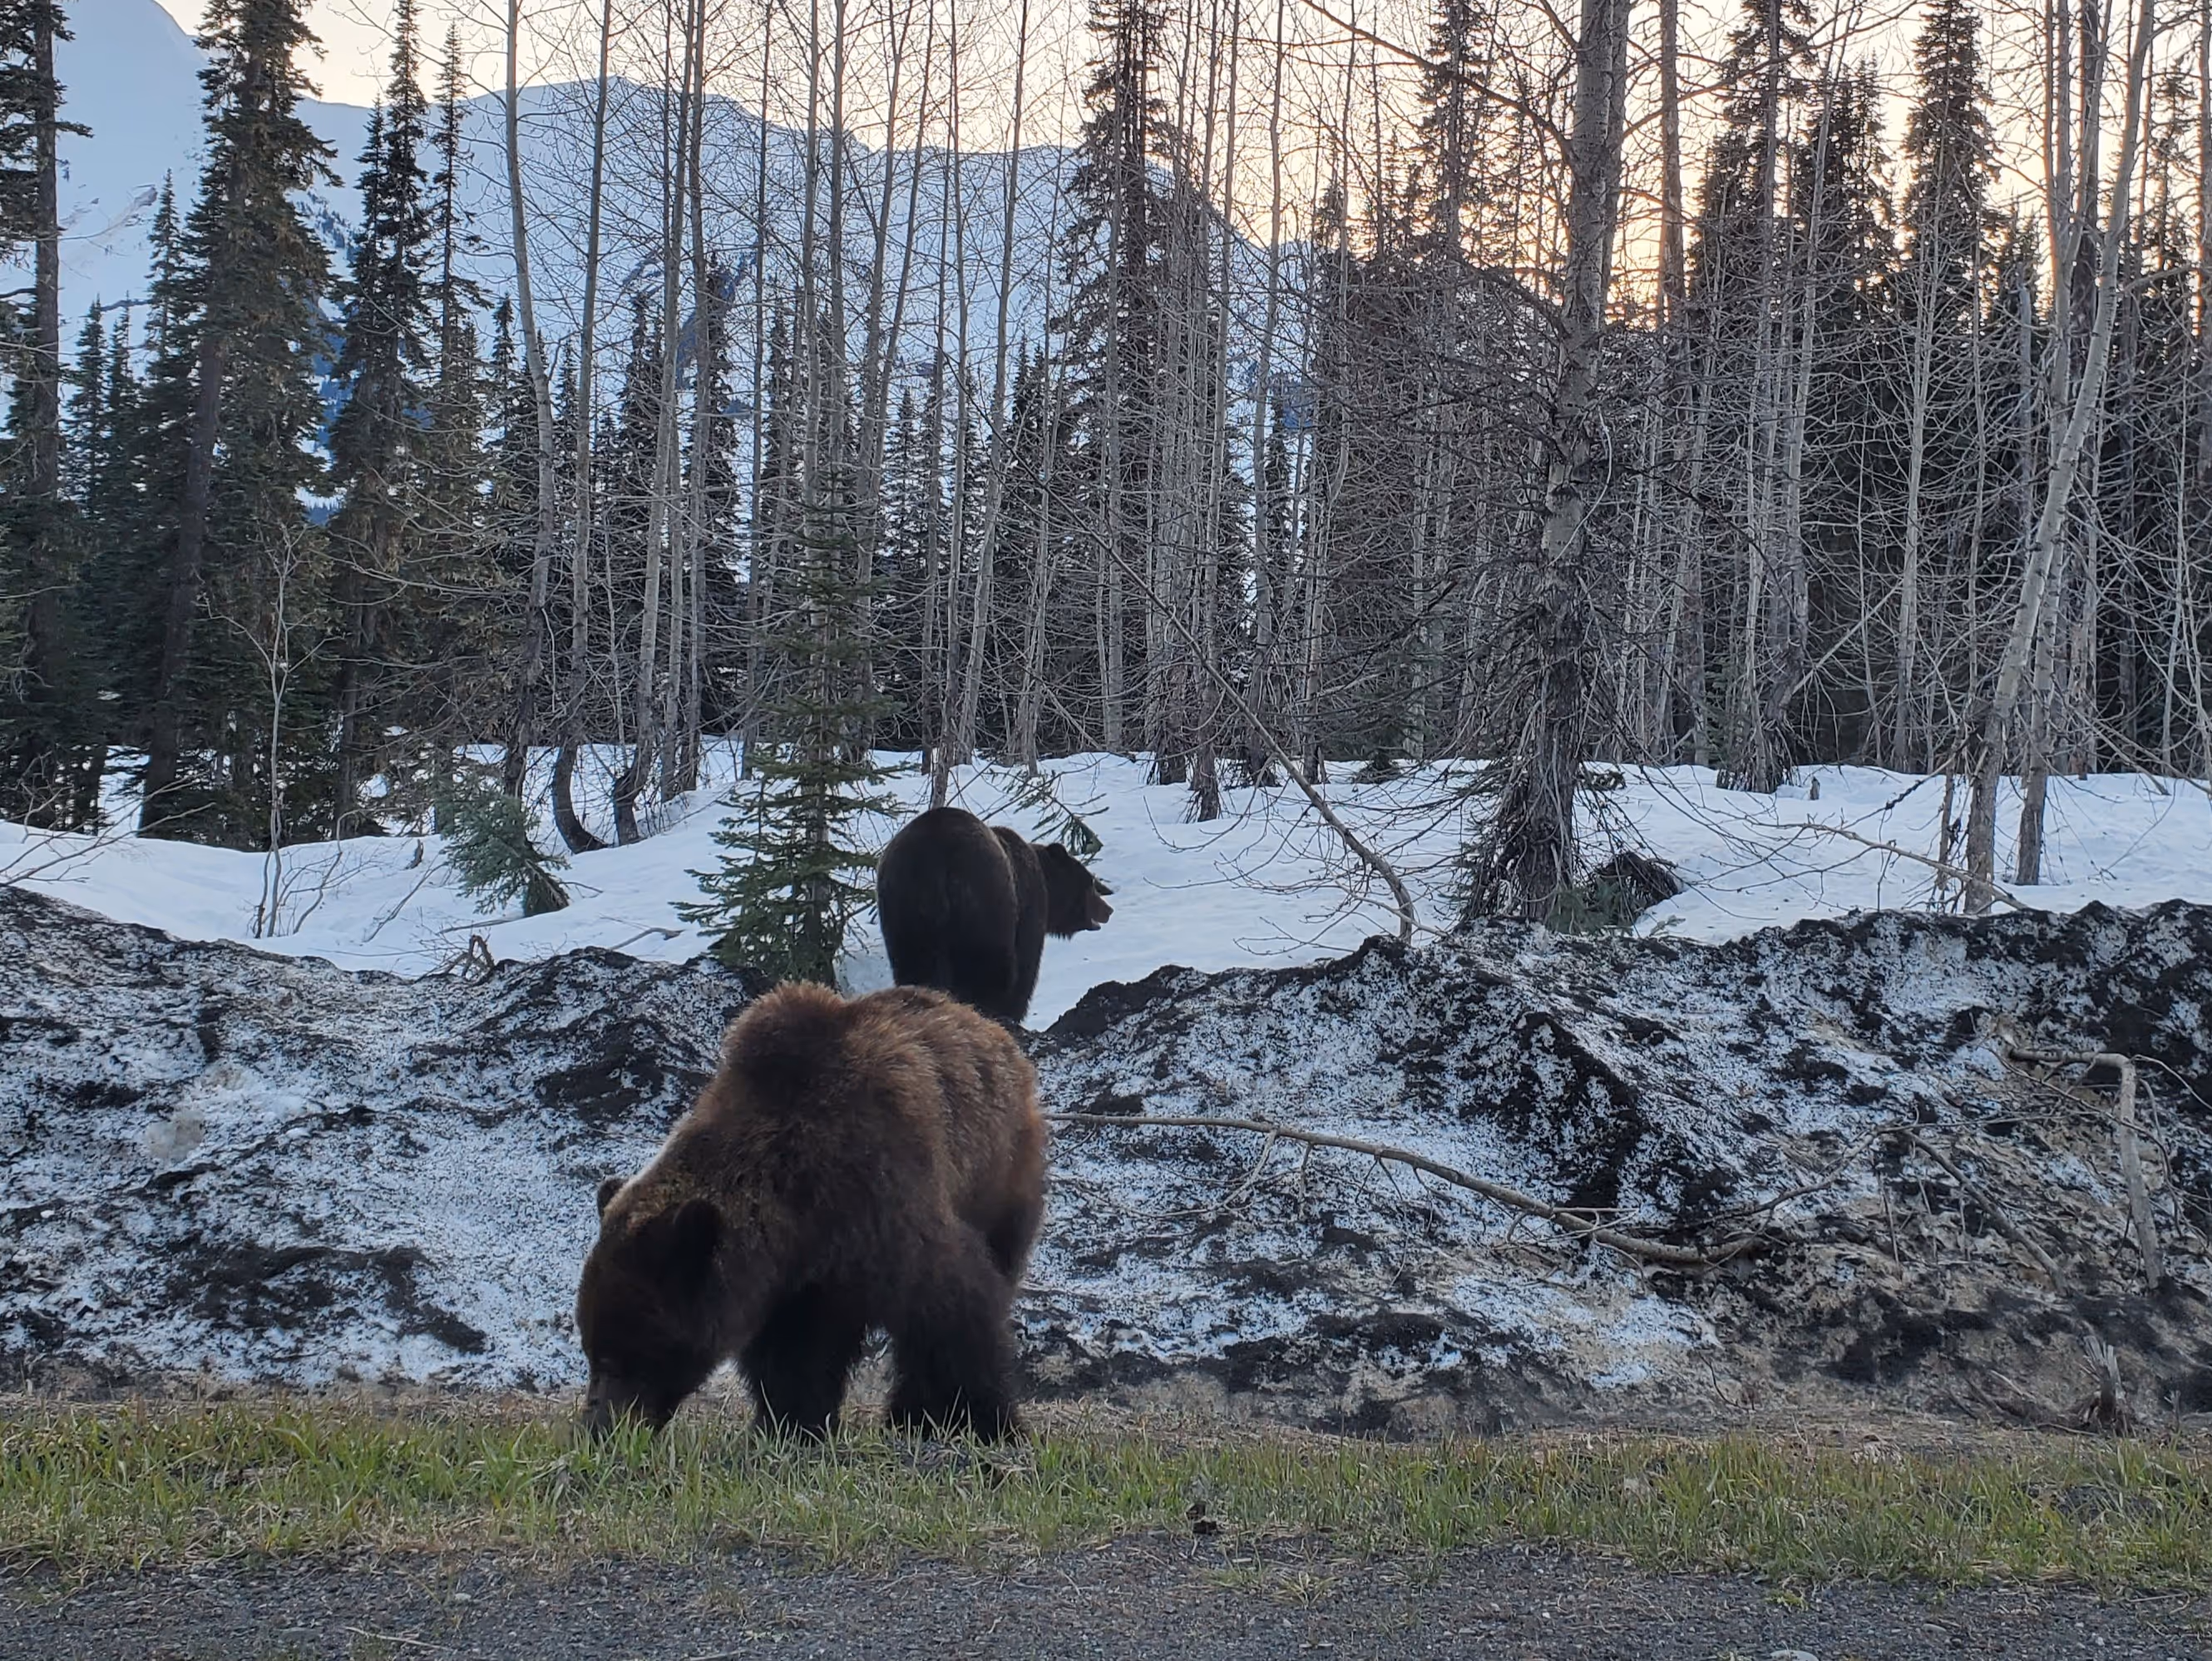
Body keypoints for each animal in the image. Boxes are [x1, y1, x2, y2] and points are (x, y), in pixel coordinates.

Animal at [575, 979, 1046, 1441]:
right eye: (592, 1346)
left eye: (631, 1351)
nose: (599, 1428)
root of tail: (978, 1019)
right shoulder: (795, 1282)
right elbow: (794, 1354)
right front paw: (793, 1423)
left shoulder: (886, 1200)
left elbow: (953, 1307)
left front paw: (975, 1420)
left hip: (999, 1173)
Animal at [876, 805, 1114, 1026]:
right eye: (1090, 882)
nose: (1108, 910)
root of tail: (936, 861)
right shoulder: (1029, 904)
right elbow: (1027, 965)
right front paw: (1015, 1010)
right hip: (985, 903)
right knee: (990, 967)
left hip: (904, 907)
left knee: (915, 963)